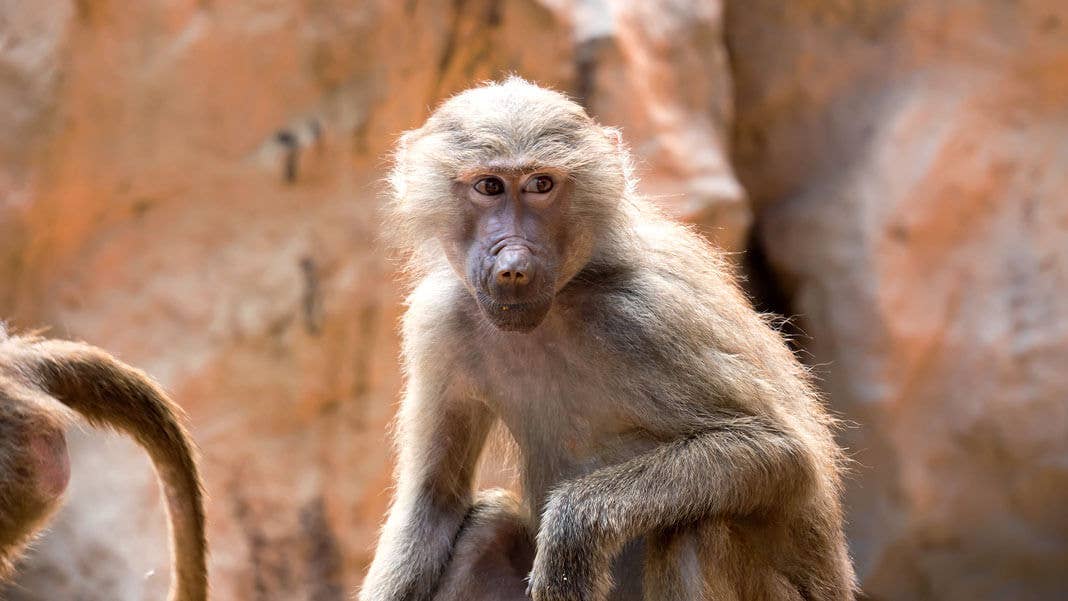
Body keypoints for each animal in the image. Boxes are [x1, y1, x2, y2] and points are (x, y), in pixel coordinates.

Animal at [359, 77, 856, 601]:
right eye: (489, 186)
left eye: (541, 184)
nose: (513, 266)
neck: (561, 301)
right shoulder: (440, 322)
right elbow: (434, 503)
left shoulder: (648, 314)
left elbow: (783, 452)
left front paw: (574, 532)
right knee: (486, 530)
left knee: (696, 528)